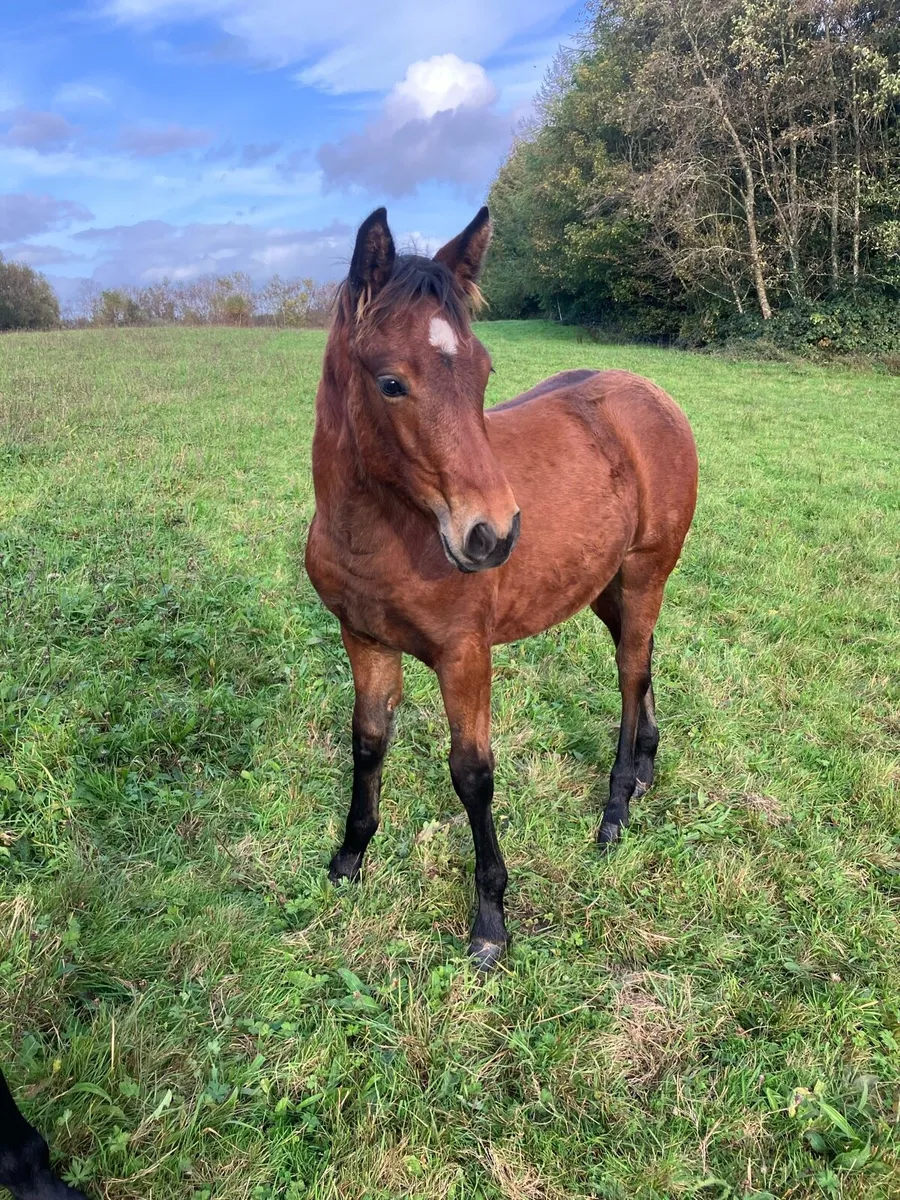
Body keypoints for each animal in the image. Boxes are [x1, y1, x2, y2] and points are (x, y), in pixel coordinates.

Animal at [305, 206, 698, 969]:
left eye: (484, 372)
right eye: (391, 383)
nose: (493, 534)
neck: (383, 532)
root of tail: (655, 396)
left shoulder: (465, 654)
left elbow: (471, 772)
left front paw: (490, 919)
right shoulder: (363, 639)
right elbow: (368, 742)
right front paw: (348, 860)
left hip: (644, 572)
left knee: (630, 674)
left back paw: (615, 811)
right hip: (605, 586)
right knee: (644, 660)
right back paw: (644, 770)